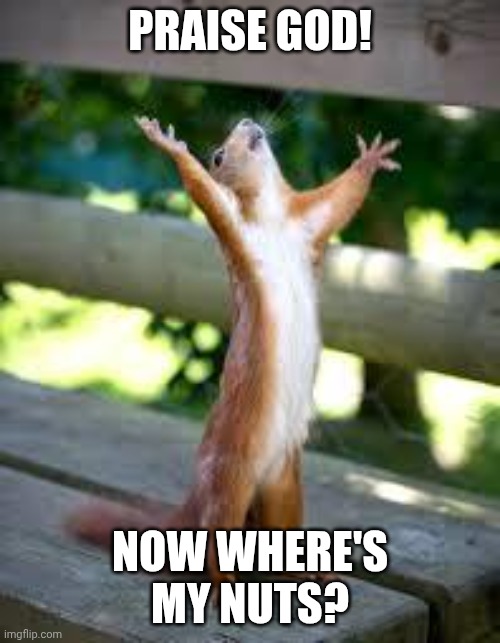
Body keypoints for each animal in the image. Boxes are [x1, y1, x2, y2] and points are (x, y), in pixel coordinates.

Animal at [68, 117, 400, 595]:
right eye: (218, 155)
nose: (247, 121)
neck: (275, 219)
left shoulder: (309, 221)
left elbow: (342, 199)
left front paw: (371, 158)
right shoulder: (236, 229)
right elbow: (204, 193)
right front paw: (169, 144)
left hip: (284, 486)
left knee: (283, 532)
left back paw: (310, 571)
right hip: (229, 478)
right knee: (213, 537)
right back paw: (225, 582)